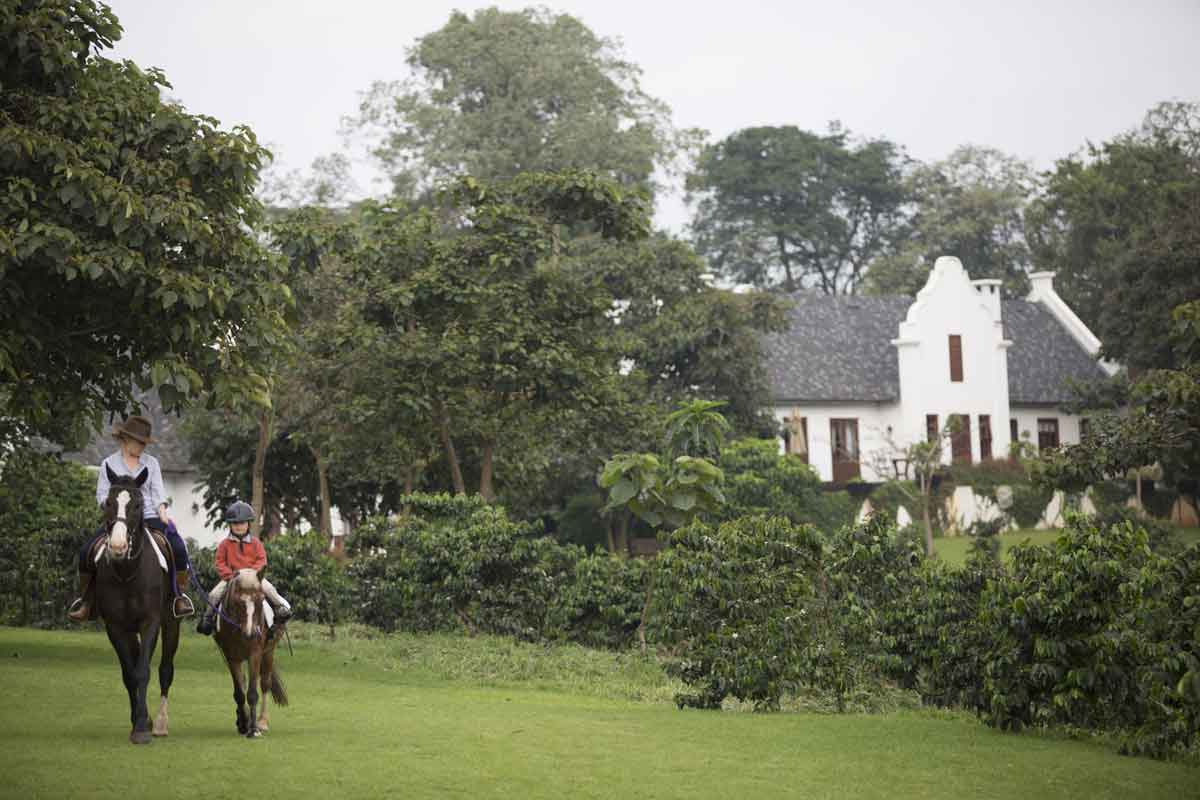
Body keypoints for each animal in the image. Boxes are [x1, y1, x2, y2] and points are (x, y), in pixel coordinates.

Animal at [94, 470, 182, 743]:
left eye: (138, 505)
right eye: (108, 503)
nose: (118, 547)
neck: (127, 572)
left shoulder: (150, 622)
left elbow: (143, 671)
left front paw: (143, 727)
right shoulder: (115, 626)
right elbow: (129, 674)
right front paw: (138, 721)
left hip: (171, 622)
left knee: (165, 669)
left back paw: (161, 723)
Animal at [213, 568, 288, 738]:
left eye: (261, 600)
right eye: (239, 602)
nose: (251, 633)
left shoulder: (255, 654)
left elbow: (253, 693)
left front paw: (253, 730)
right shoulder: (231, 657)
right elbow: (239, 693)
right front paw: (243, 723)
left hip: (268, 652)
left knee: (265, 684)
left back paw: (262, 722)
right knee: (243, 681)